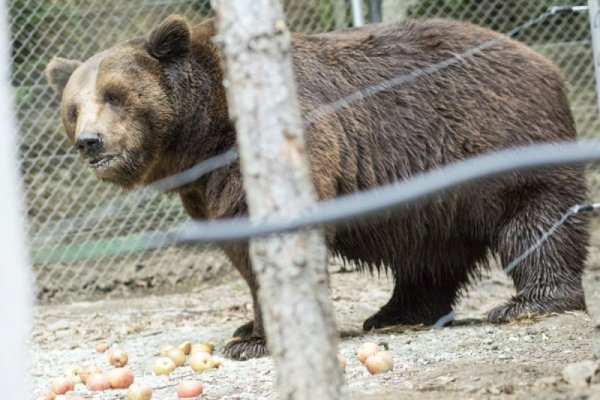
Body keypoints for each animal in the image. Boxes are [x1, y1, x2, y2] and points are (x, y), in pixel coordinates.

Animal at [45, 14, 584, 360]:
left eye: (115, 95)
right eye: (74, 107)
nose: (90, 142)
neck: (201, 135)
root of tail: (545, 63)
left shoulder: (268, 149)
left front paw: (252, 340)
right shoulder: (201, 185)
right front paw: (248, 325)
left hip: (500, 137)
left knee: (535, 219)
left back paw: (529, 301)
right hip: (434, 187)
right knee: (429, 249)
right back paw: (397, 312)